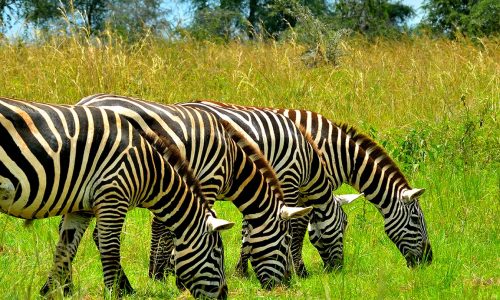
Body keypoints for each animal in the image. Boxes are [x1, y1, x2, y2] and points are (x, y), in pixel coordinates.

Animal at [0, 97, 232, 298]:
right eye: (217, 254)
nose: (225, 295)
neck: (147, 168)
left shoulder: (81, 209)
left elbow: (65, 249)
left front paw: (53, 291)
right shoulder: (113, 196)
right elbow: (110, 251)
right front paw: (114, 293)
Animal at [75, 94, 312, 288]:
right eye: (286, 240)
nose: (287, 284)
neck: (232, 163)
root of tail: (84, 101)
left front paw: (163, 274)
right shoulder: (208, 182)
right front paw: (175, 277)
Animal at [180, 100, 356, 276]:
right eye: (345, 222)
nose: (338, 268)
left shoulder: (256, 191)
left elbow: (249, 227)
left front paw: (242, 270)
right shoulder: (289, 182)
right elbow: (295, 225)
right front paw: (296, 269)